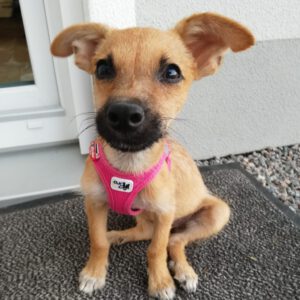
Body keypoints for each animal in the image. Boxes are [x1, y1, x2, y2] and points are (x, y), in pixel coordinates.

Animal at [51, 12, 253, 300]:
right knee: (147, 232)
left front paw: (160, 282)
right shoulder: (95, 202)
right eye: (102, 68)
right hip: (144, 214)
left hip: (217, 212)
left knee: (174, 240)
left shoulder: (164, 213)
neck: (128, 165)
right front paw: (94, 272)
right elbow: (97, 240)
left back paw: (183, 271)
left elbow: (156, 249)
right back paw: (117, 236)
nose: (124, 114)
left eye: (172, 72)